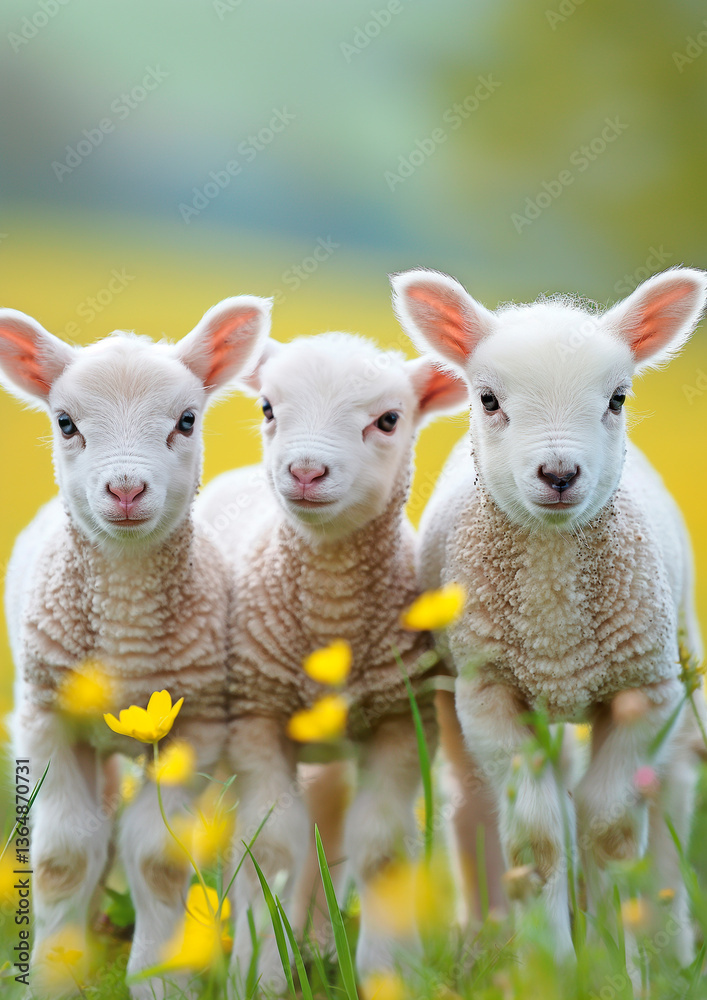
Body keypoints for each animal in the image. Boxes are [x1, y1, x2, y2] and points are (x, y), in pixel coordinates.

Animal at [0, 295, 272, 999]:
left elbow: (156, 859)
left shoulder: (193, 724)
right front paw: (57, 973)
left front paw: (157, 977)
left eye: (186, 420)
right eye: (66, 422)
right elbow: (63, 855)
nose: (125, 490)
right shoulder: (47, 719)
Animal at [195, 331, 467, 984]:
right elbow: (270, 842)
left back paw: (316, 939)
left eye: (389, 420)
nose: (305, 470)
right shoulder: (257, 716)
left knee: (329, 821)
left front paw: (384, 971)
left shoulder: (402, 718)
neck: (331, 614)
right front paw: (260, 973)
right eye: (268, 407)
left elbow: (379, 845)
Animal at [391, 266, 707, 967]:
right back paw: (487, 938)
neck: (554, 619)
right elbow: (535, 841)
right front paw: (554, 966)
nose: (559, 473)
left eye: (617, 398)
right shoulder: (489, 694)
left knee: (670, 789)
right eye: (487, 399)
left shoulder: (644, 691)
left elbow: (612, 831)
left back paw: (668, 946)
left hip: (680, 666)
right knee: (475, 805)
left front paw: (617, 963)